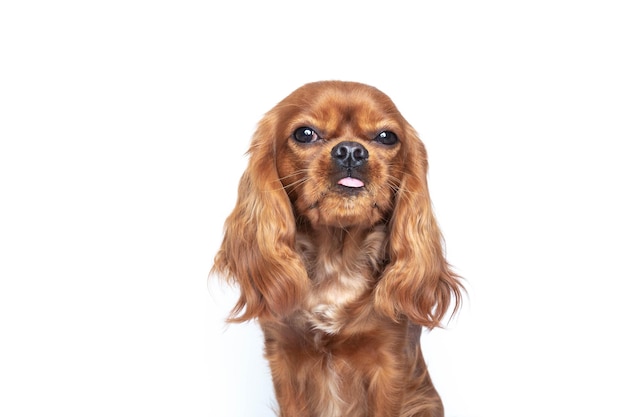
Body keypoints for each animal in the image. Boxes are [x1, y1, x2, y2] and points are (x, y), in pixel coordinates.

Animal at [212, 79, 460, 414]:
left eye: (386, 136)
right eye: (304, 133)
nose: (351, 150)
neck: (336, 261)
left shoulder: (390, 364)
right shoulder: (285, 361)